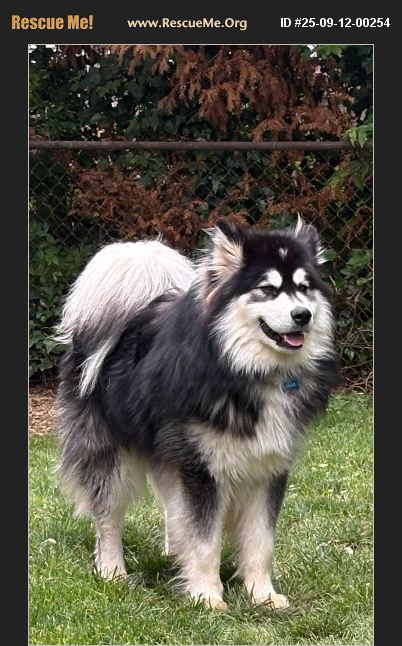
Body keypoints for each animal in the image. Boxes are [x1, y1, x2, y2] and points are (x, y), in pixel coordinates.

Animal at [56, 218, 337, 610]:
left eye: (304, 287)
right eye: (267, 289)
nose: (303, 316)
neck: (245, 369)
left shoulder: (267, 468)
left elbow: (260, 541)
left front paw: (262, 594)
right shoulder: (202, 469)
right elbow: (205, 540)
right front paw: (207, 597)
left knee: (173, 509)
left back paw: (173, 552)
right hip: (111, 454)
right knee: (108, 516)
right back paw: (112, 570)